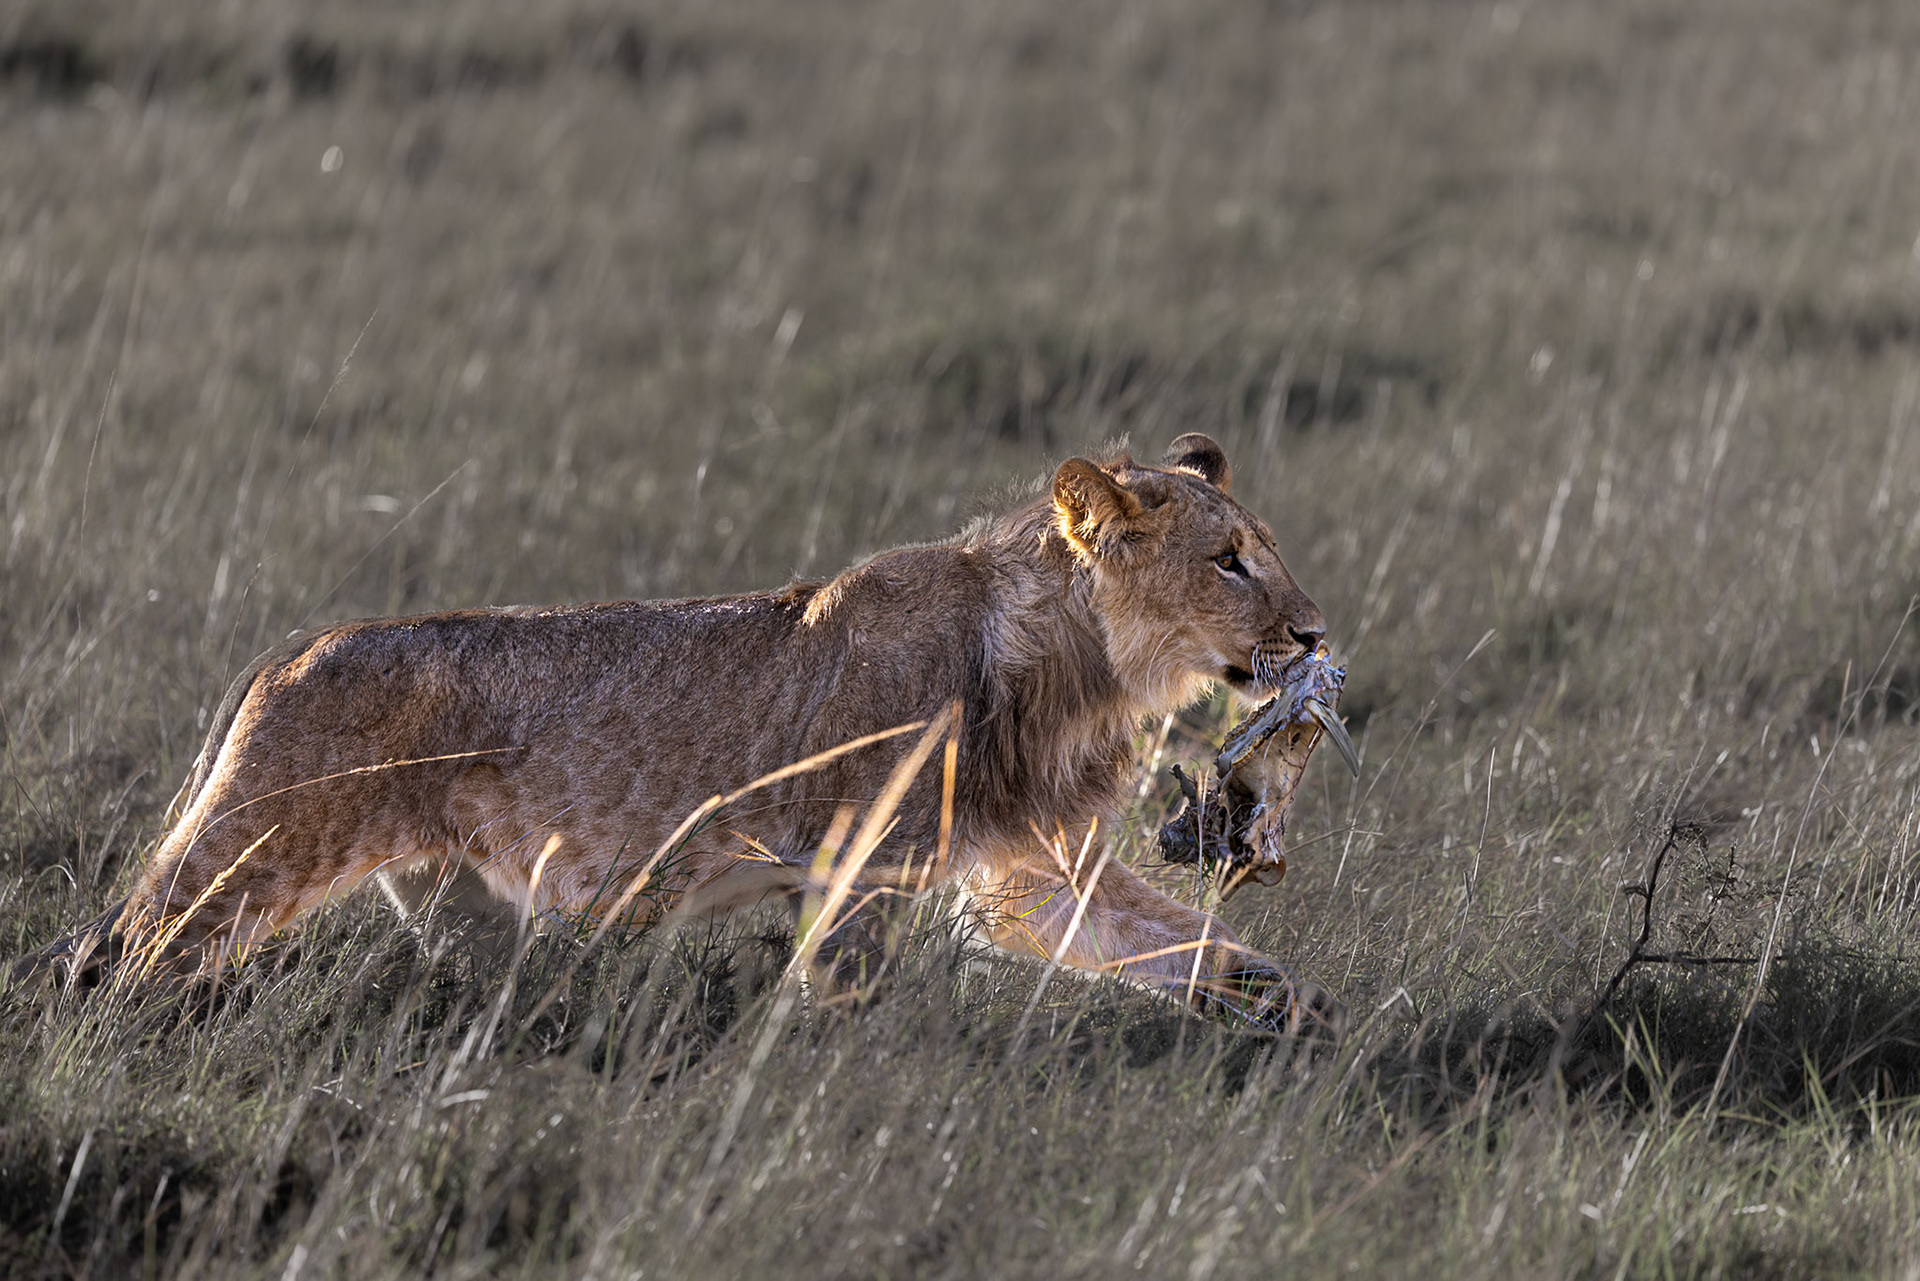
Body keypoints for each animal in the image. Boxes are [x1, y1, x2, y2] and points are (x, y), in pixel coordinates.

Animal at [18, 433, 1344, 1035]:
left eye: (1266, 550)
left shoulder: (1029, 870)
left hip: (456, 906)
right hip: (247, 860)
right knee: (110, 955)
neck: (1075, 667)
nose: (1316, 630)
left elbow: (1161, 940)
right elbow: (843, 991)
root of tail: (283, 656)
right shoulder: (863, 859)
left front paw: (1290, 1007)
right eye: (1228, 561)